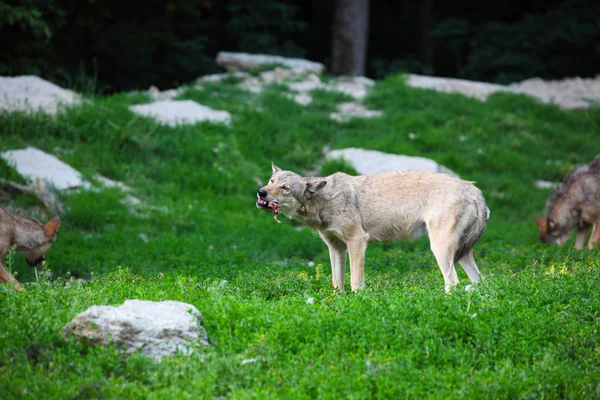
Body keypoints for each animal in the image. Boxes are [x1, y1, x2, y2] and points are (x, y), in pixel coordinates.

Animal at [255, 163, 490, 294]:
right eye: (271, 180)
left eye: (285, 188)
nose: (261, 192)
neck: (326, 200)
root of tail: (475, 189)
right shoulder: (336, 247)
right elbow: (336, 282)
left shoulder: (358, 240)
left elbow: (355, 282)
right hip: (461, 254)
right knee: (479, 281)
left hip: (440, 250)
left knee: (454, 283)